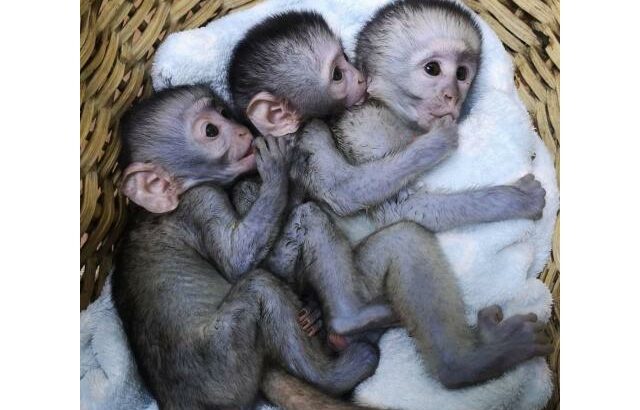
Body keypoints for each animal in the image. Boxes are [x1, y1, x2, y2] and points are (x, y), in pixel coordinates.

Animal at [110, 85, 380, 410]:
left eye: (224, 113)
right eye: (211, 130)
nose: (242, 131)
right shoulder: (201, 199)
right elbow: (236, 260)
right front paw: (278, 168)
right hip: (225, 361)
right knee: (261, 284)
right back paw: (341, 366)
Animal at [229, 2, 552, 390]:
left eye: (462, 73)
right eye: (433, 69)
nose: (452, 95)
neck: (392, 110)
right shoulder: (368, 126)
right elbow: (396, 206)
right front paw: (515, 198)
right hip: (358, 279)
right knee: (403, 238)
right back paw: (467, 360)